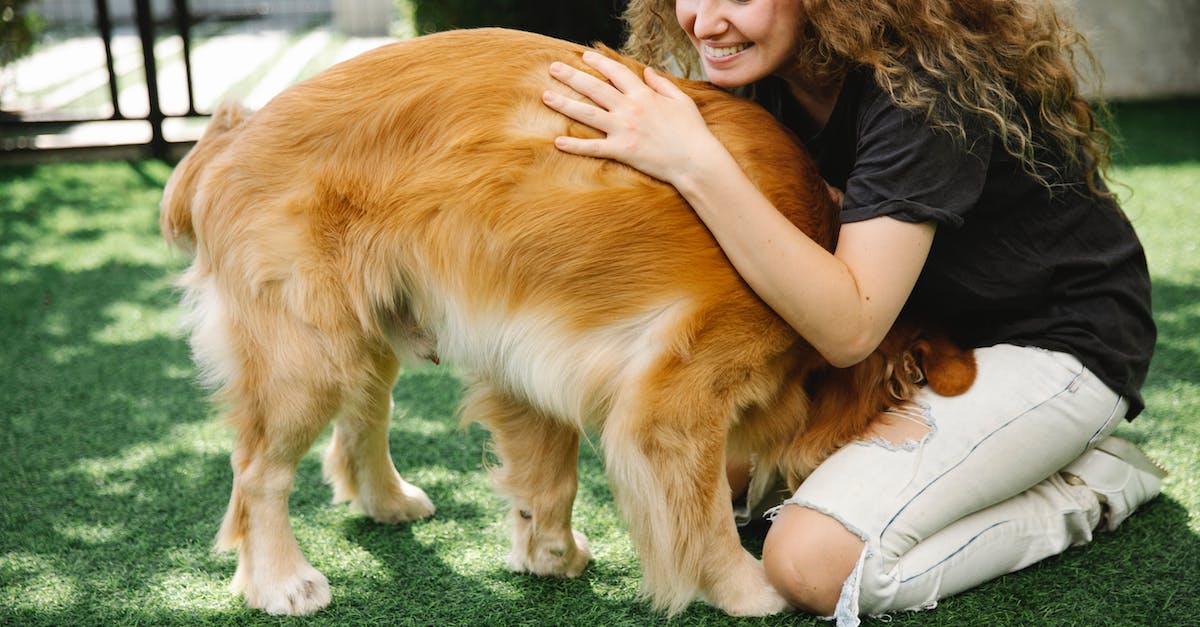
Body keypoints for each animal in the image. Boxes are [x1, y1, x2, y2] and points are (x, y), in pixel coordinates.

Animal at [159, 28, 974, 614]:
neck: (820, 235)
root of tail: (228, 136)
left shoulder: (527, 353)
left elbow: (548, 475)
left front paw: (550, 553)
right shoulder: (674, 404)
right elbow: (702, 513)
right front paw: (746, 590)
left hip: (365, 324)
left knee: (364, 417)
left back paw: (388, 501)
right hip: (306, 352)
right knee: (258, 473)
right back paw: (280, 580)